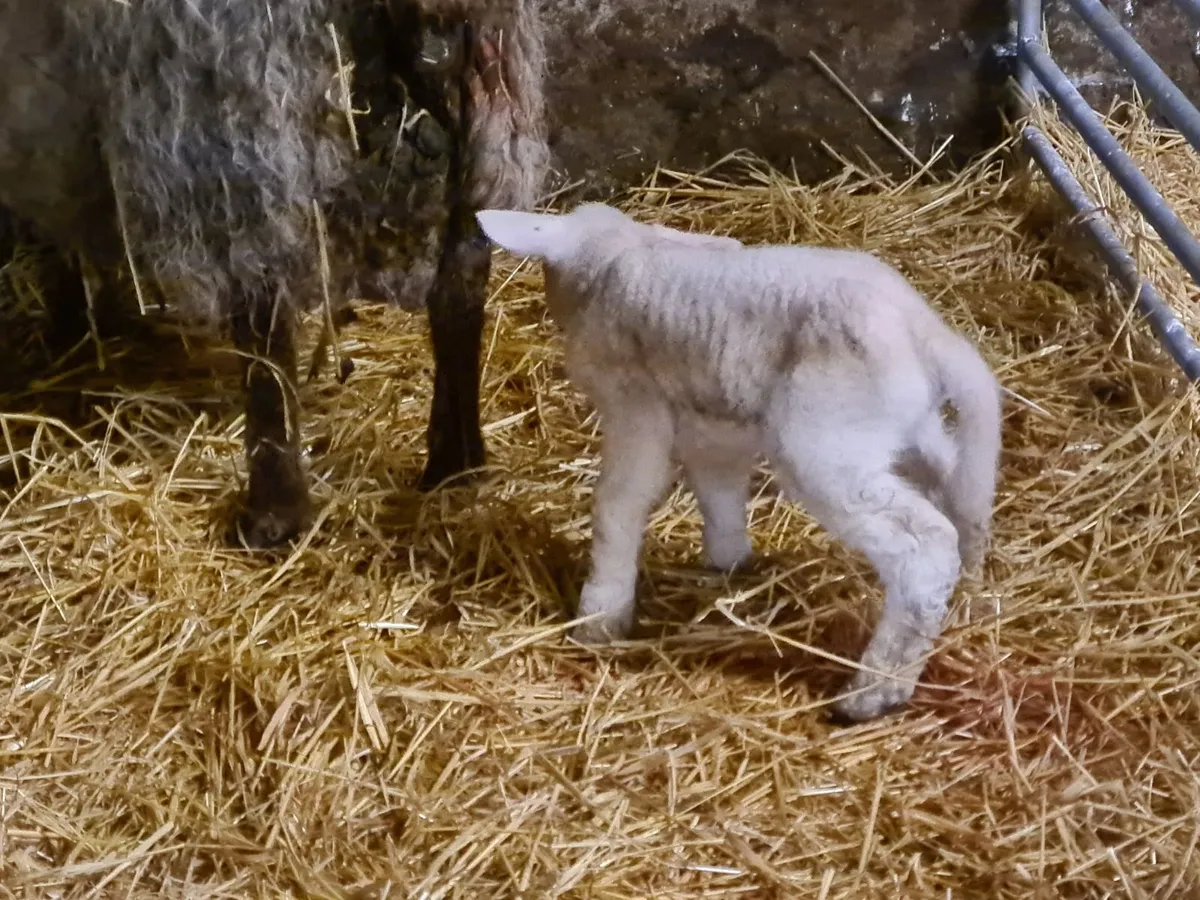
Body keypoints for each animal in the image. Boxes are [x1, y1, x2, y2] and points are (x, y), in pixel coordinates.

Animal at [0, 0, 549, 547]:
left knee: (262, 293)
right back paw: (455, 463)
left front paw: (72, 334)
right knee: (463, 270)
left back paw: (275, 513)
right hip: (482, 75)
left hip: (224, 74)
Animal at [476, 202, 1003, 722]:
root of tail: (925, 333)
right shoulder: (711, 421)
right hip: (911, 428)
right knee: (961, 494)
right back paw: (966, 599)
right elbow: (718, 489)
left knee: (924, 546)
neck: (613, 255)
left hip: (825, 438)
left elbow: (619, 502)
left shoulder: (635, 404)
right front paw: (727, 562)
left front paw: (600, 614)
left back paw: (873, 693)